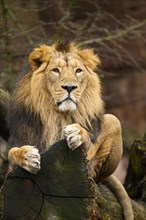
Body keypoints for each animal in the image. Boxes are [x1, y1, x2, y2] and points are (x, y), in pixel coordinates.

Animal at [8, 40, 133, 219]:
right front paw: (27, 157)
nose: (69, 87)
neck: (58, 116)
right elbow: (12, 153)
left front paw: (77, 134)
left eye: (78, 71)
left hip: (113, 121)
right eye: (55, 70)